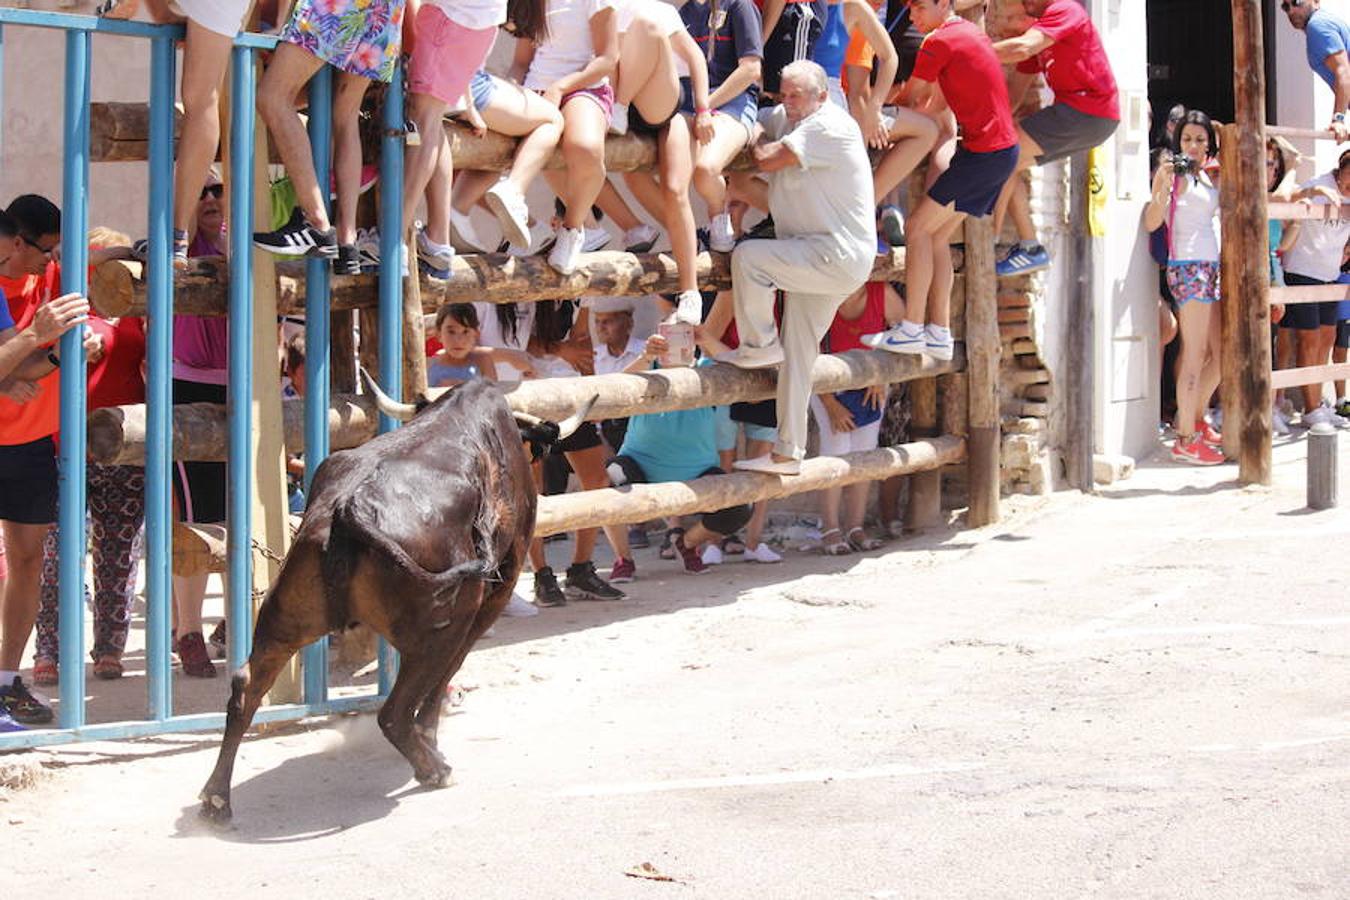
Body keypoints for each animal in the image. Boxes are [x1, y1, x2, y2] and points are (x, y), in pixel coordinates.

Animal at [198, 372, 591, 825]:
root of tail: (346, 511)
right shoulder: (498, 589)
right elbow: (447, 675)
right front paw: (431, 738)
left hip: (283, 623)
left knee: (245, 689)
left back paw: (216, 797)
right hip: (443, 626)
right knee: (396, 710)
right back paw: (434, 768)